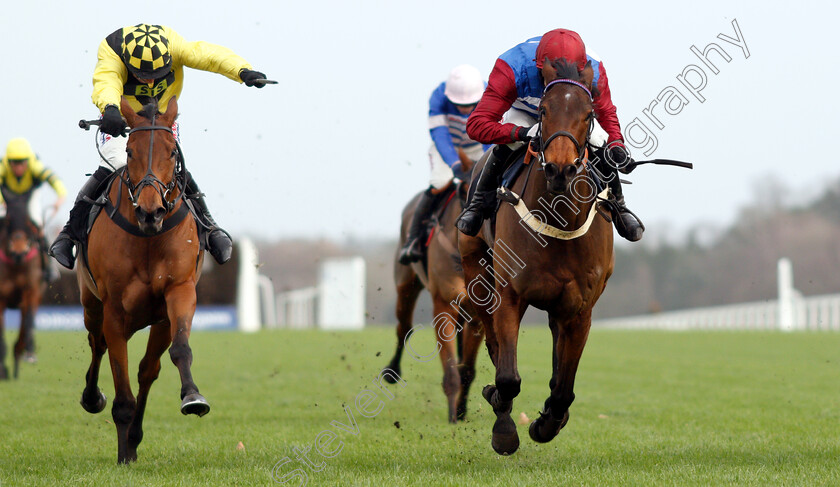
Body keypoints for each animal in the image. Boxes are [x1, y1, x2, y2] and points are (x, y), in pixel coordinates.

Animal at [77, 96, 208, 466]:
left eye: (172, 152)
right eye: (130, 151)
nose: (151, 212)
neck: (149, 237)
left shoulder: (178, 294)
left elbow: (177, 351)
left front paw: (192, 396)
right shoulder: (114, 311)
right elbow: (121, 383)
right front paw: (124, 454)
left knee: (147, 369)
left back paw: (135, 437)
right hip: (91, 304)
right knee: (97, 344)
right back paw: (93, 399)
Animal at [382, 151, 486, 426]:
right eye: (464, 190)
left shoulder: (480, 313)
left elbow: (467, 369)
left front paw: (460, 411)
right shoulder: (444, 304)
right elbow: (450, 369)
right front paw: (452, 416)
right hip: (405, 283)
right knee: (404, 328)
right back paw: (391, 372)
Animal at [460, 59, 616, 456]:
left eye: (589, 114)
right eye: (543, 111)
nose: (560, 169)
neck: (557, 218)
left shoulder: (580, 309)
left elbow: (563, 388)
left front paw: (547, 423)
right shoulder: (509, 295)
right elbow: (507, 377)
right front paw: (503, 427)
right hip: (476, 275)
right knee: (494, 344)